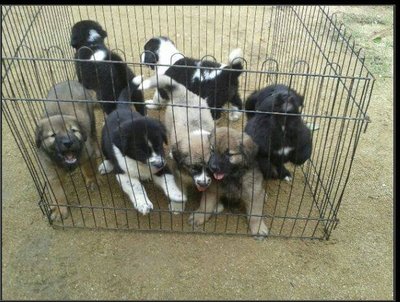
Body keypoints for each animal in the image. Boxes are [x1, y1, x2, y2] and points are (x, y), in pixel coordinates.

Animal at [35, 80, 99, 222]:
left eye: (73, 130)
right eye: (53, 135)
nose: (68, 142)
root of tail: (69, 81)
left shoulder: (87, 154)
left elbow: (89, 169)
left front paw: (91, 181)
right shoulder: (51, 173)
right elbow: (58, 193)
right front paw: (59, 210)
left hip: (91, 118)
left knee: (94, 134)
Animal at [97, 86, 187, 216]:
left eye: (159, 145)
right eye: (140, 151)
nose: (159, 164)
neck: (141, 164)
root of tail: (121, 109)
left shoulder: (162, 165)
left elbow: (168, 180)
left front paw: (178, 195)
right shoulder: (123, 174)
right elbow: (136, 188)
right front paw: (143, 204)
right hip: (104, 143)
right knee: (108, 156)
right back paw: (106, 165)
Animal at [134, 75, 216, 212]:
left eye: (210, 168)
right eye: (194, 167)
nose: (203, 184)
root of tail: (182, 91)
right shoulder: (178, 174)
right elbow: (180, 189)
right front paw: (177, 206)